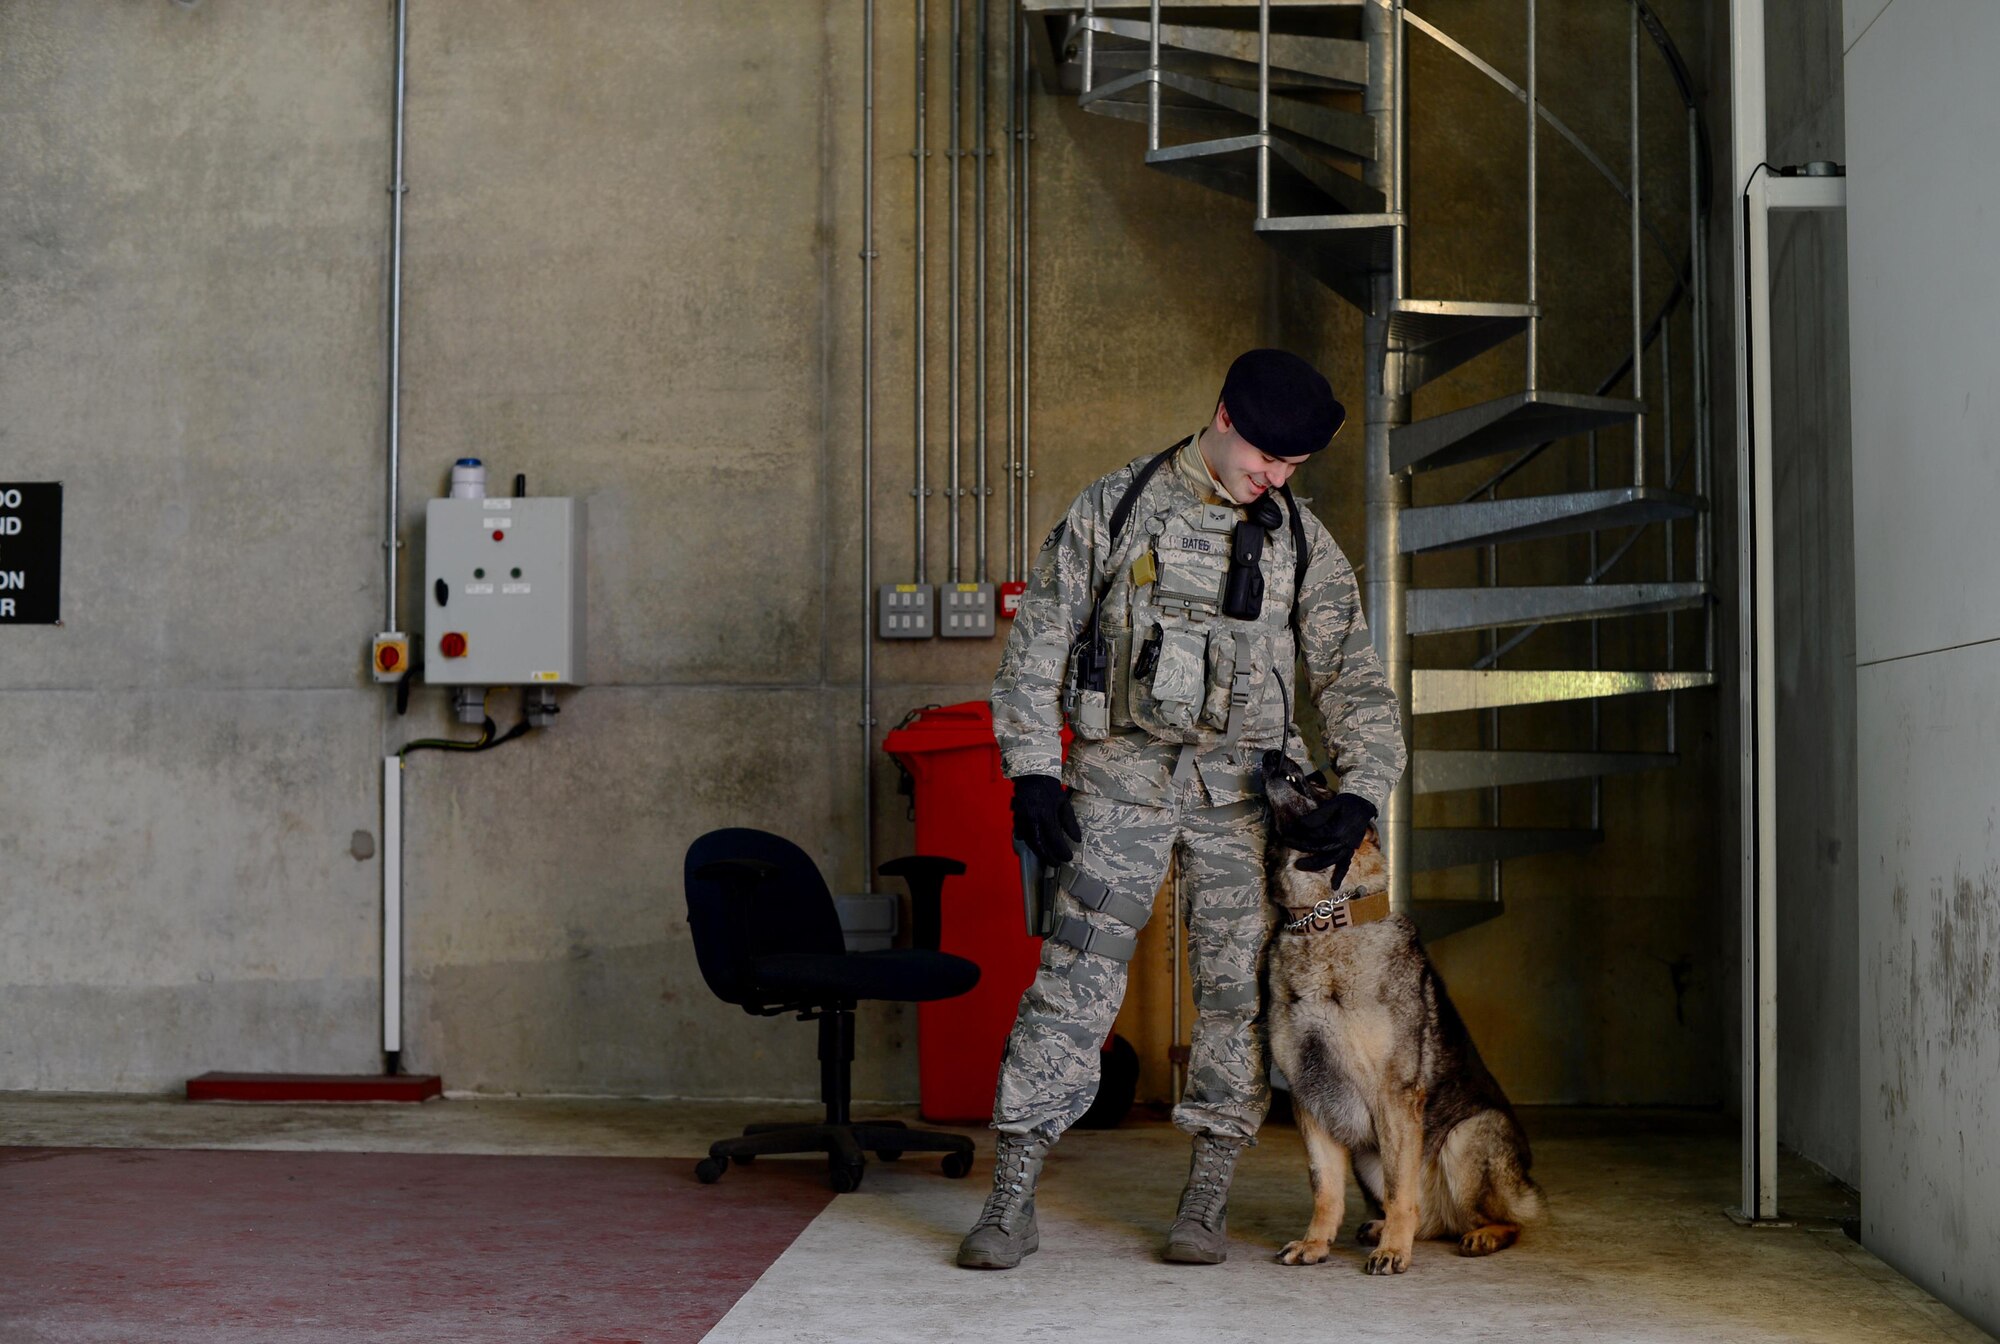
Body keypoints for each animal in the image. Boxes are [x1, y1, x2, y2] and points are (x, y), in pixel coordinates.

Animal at [1256, 752, 1536, 1272]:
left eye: (1320, 784)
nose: (1271, 756)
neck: (1325, 922)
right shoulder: (1310, 1101)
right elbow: (1325, 1189)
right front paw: (1316, 1242)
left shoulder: (1396, 1098)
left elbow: (1399, 1188)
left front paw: (1393, 1252)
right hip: (1370, 1157)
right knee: (1427, 1218)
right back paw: (1384, 1227)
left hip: (1466, 1137)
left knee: (1501, 1219)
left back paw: (1478, 1235)